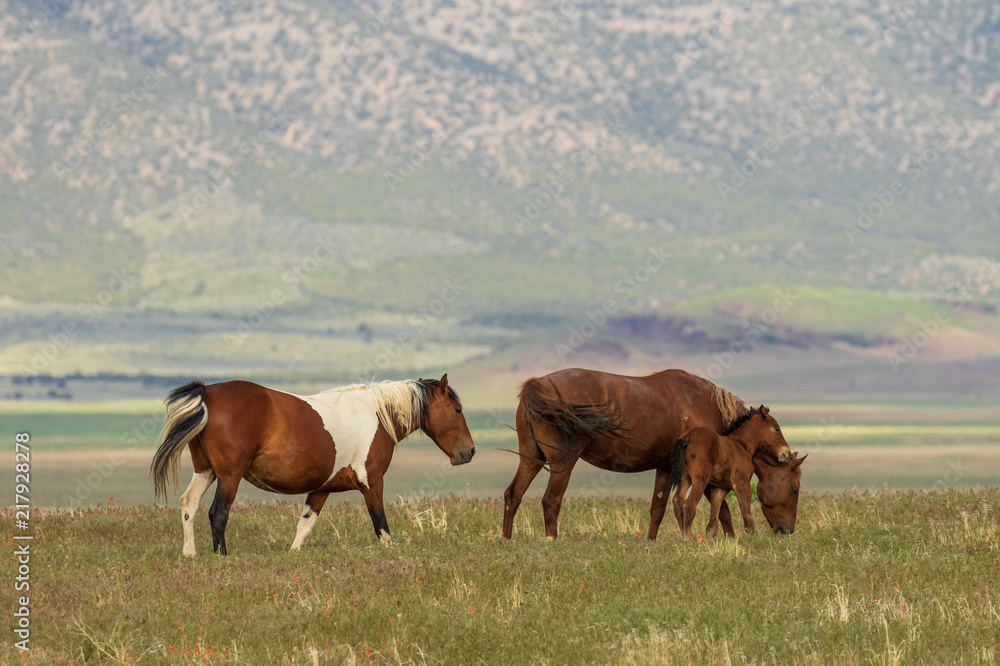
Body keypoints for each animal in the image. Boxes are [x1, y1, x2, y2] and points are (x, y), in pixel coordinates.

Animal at [150, 374, 475, 555]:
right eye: (457, 410)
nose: (469, 452)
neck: (376, 414)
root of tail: (208, 393)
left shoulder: (321, 489)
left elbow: (304, 526)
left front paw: (292, 555)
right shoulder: (372, 482)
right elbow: (381, 525)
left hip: (206, 471)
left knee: (189, 505)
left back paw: (190, 553)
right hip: (230, 475)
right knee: (218, 513)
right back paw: (222, 556)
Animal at [668, 405, 796, 539]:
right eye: (776, 429)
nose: (787, 452)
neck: (741, 446)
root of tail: (687, 437)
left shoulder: (720, 488)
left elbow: (713, 521)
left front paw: (709, 539)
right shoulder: (742, 484)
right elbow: (747, 517)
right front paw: (753, 539)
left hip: (685, 478)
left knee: (678, 501)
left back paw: (683, 537)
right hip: (700, 481)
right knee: (689, 506)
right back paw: (688, 538)